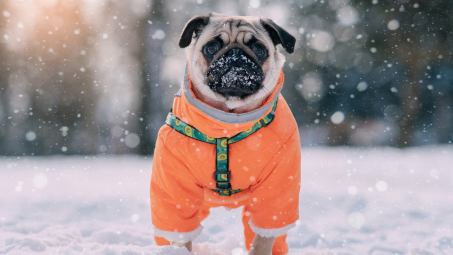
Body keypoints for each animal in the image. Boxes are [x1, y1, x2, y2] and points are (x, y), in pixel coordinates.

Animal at [152, 12, 298, 255]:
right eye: (211, 47)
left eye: (259, 49)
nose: (235, 54)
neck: (228, 120)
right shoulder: (175, 187)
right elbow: (180, 233)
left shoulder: (275, 190)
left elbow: (263, 238)